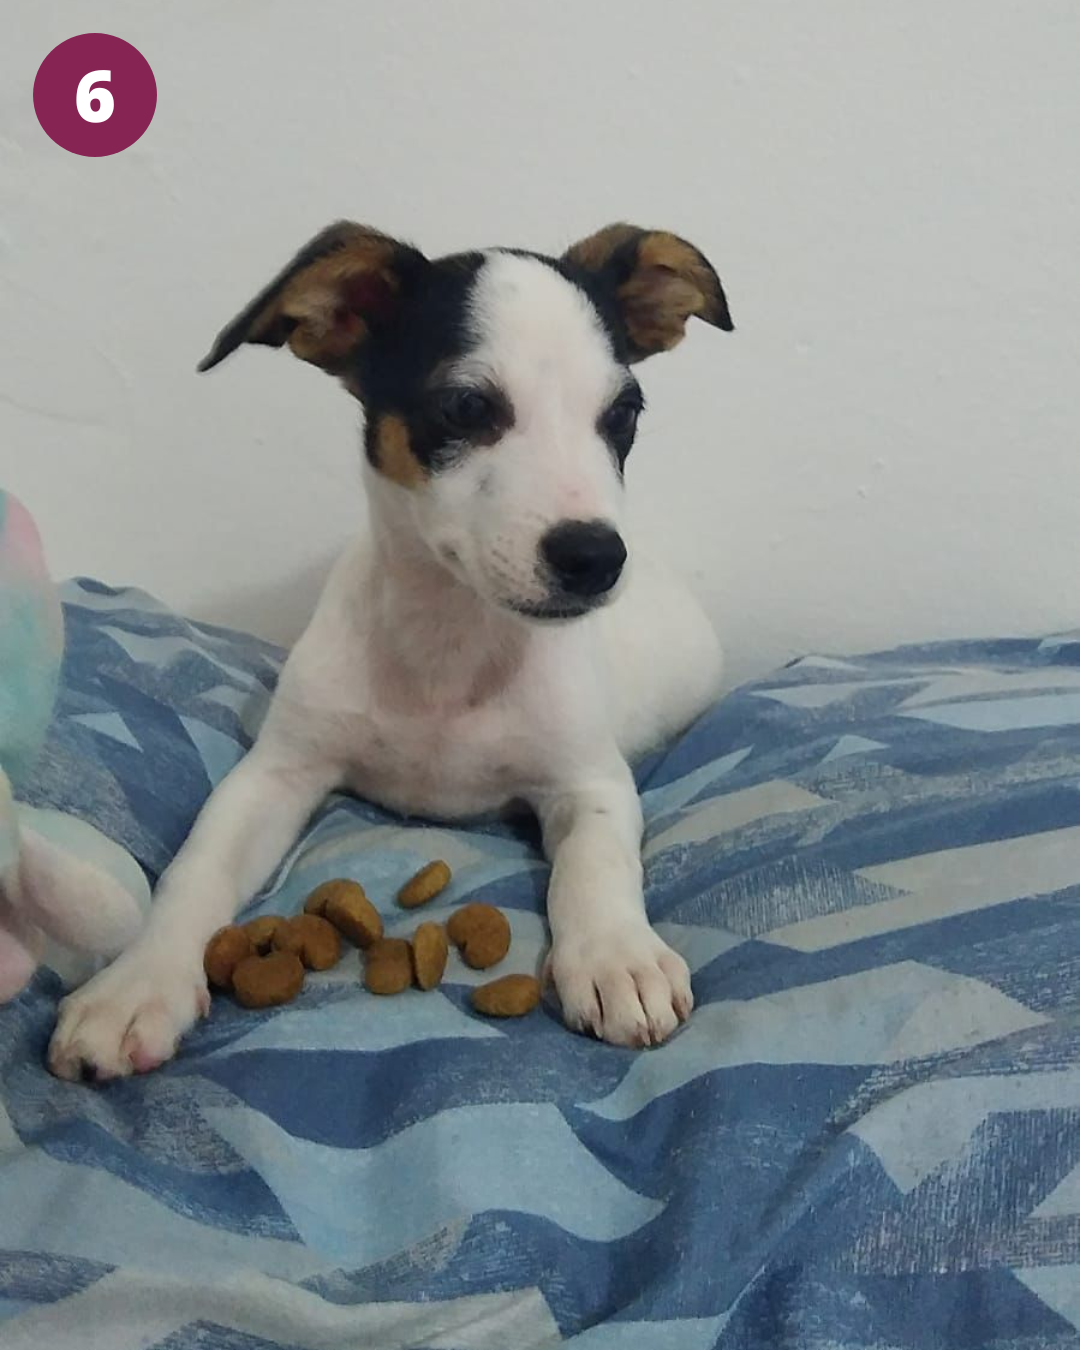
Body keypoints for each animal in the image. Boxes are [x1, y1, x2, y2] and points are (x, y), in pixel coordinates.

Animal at [47, 220, 732, 1080]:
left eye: (624, 412)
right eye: (466, 405)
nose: (596, 559)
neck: (450, 641)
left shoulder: (590, 781)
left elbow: (597, 867)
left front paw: (617, 957)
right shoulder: (275, 775)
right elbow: (195, 871)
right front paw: (137, 983)